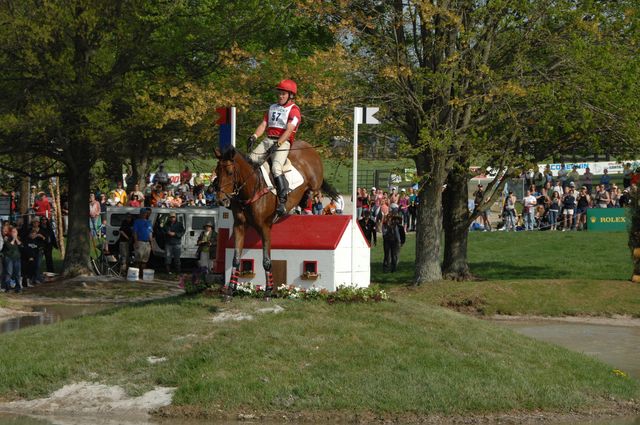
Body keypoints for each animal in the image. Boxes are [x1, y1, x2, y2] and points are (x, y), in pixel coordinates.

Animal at [214, 141, 338, 296]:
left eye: (230, 173)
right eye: (217, 172)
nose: (221, 200)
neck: (250, 189)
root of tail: (307, 145)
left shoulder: (265, 227)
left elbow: (266, 261)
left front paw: (268, 291)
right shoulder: (239, 226)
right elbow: (236, 259)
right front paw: (230, 290)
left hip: (315, 181)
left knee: (314, 189)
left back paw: (304, 200)